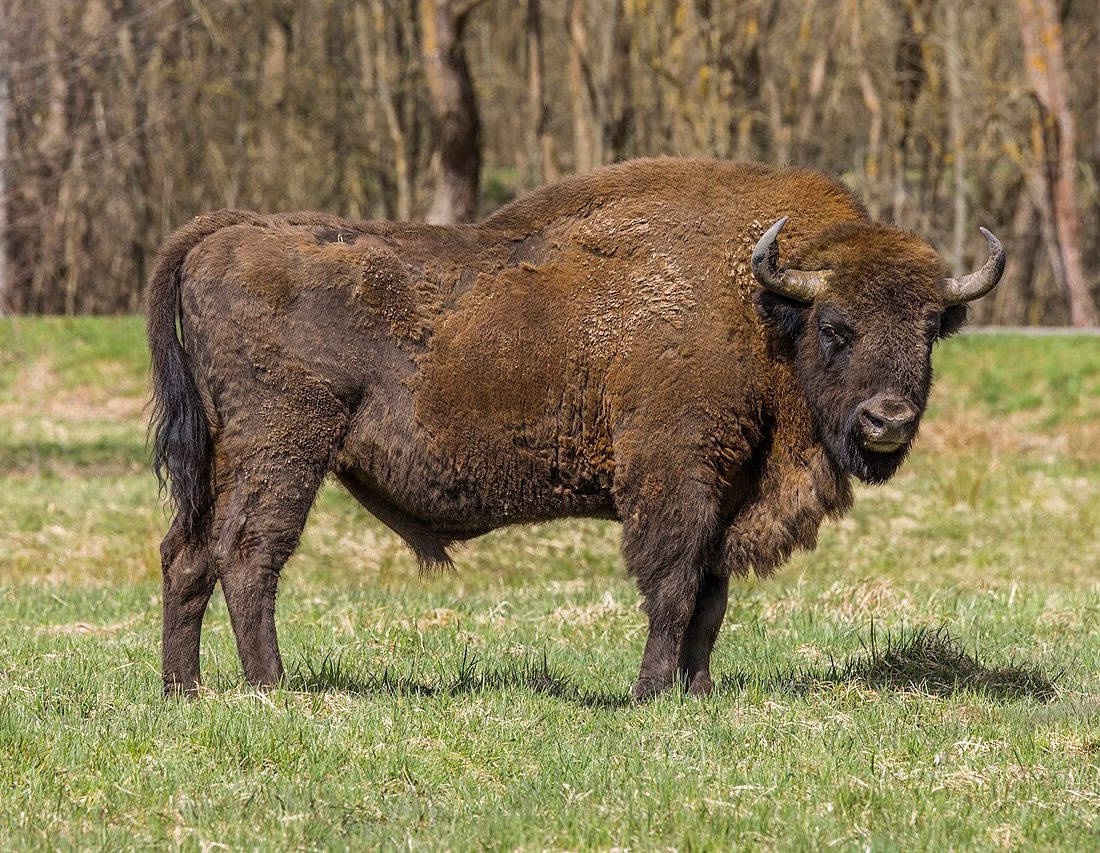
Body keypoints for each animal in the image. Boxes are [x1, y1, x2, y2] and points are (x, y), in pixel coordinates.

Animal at [147, 158, 1005, 700]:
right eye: (835, 326)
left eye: (931, 326)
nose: (888, 419)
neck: (759, 306)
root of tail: (230, 232)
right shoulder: (677, 479)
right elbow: (673, 587)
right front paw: (650, 692)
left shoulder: (728, 492)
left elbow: (712, 599)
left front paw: (698, 692)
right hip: (284, 448)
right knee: (248, 554)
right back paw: (271, 685)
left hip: (223, 453)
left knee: (187, 553)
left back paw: (184, 689)